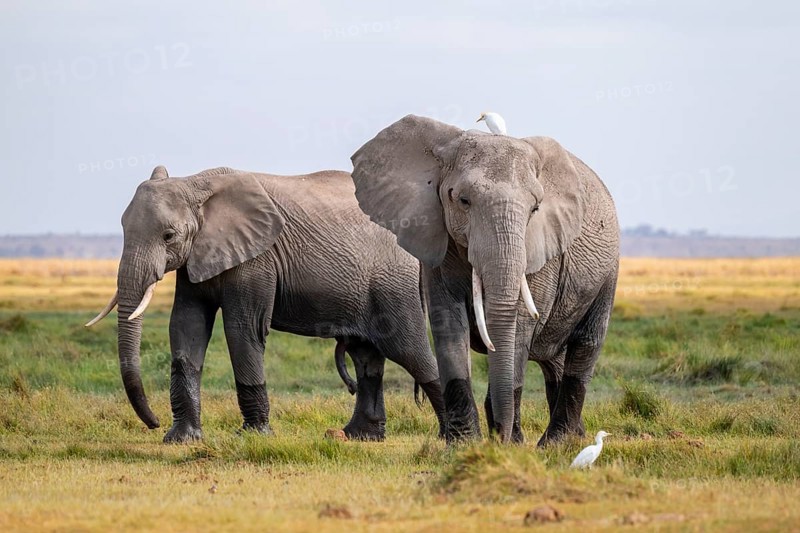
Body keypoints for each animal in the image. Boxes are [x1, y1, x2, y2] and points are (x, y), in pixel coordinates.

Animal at [86, 165, 446, 443]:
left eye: (168, 236)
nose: (153, 422)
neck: (196, 183)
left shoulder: (257, 258)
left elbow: (242, 329)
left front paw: (253, 436)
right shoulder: (197, 258)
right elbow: (187, 326)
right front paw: (181, 439)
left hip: (393, 285)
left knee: (410, 351)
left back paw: (450, 436)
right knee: (366, 356)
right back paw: (360, 437)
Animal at [350, 115, 619, 445]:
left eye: (535, 209)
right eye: (463, 201)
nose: (501, 437)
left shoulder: (543, 247)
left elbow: (519, 326)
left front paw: (510, 443)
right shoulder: (438, 240)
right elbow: (448, 323)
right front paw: (463, 442)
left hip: (608, 271)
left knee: (586, 342)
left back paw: (555, 443)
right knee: (552, 358)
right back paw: (570, 439)